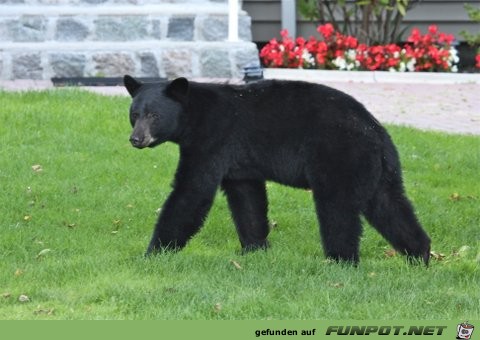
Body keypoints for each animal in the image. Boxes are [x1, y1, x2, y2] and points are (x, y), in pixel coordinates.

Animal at [124, 75, 432, 264]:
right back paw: (420, 255)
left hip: (340, 157)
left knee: (338, 210)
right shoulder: (240, 163)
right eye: (134, 114)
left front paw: (153, 253)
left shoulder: (212, 139)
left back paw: (340, 260)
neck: (193, 116)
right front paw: (255, 249)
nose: (136, 139)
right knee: (390, 205)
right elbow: (247, 199)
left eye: (154, 115)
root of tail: (375, 131)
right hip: (378, 171)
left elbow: (191, 192)